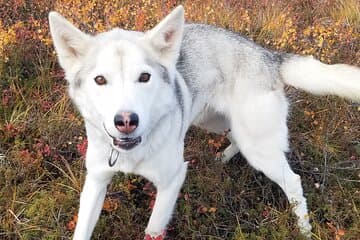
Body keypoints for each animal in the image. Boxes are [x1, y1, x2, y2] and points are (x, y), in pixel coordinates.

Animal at [48, 5, 360, 240]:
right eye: (100, 80)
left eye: (144, 77)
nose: (126, 121)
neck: (131, 153)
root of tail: (269, 56)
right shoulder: (96, 182)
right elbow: (82, 229)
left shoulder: (171, 183)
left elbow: (153, 229)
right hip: (216, 123)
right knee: (234, 139)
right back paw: (221, 158)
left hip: (259, 147)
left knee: (292, 182)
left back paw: (304, 230)